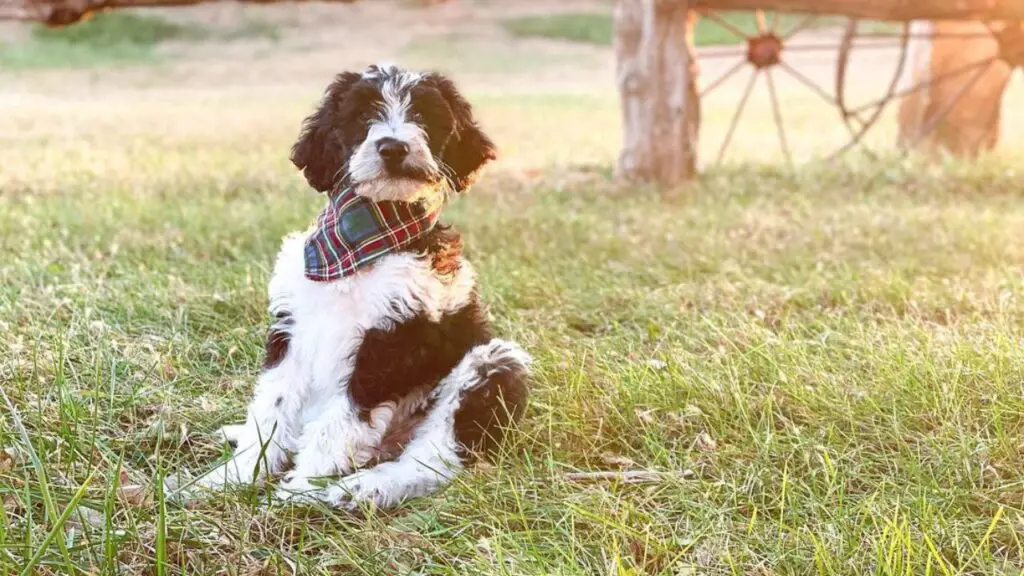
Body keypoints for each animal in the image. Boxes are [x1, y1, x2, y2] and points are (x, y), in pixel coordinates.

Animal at [169, 65, 528, 508]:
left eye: (423, 116)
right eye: (363, 116)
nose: (393, 147)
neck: (359, 245)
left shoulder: (390, 343)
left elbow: (338, 425)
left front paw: (296, 491)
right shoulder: (291, 331)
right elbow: (271, 408)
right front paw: (232, 477)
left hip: (491, 365)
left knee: (432, 460)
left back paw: (361, 488)